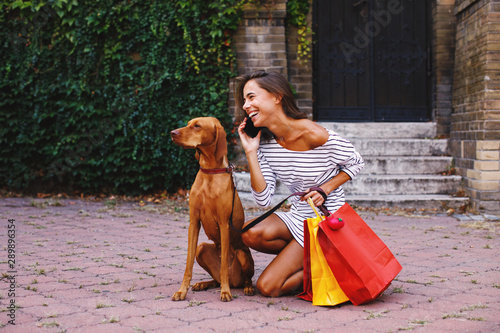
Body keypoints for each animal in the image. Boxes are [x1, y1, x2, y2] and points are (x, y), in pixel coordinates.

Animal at [171, 116, 254, 300]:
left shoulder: (224, 224)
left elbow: (223, 267)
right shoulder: (194, 222)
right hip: (201, 248)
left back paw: (245, 287)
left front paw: (225, 292)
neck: (209, 172)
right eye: (188, 123)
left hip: (243, 254)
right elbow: (188, 264)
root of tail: (235, 282)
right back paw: (204, 284)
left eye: (197, 126)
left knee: (244, 277)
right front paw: (182, 290)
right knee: (215, 278)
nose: (172, 132)